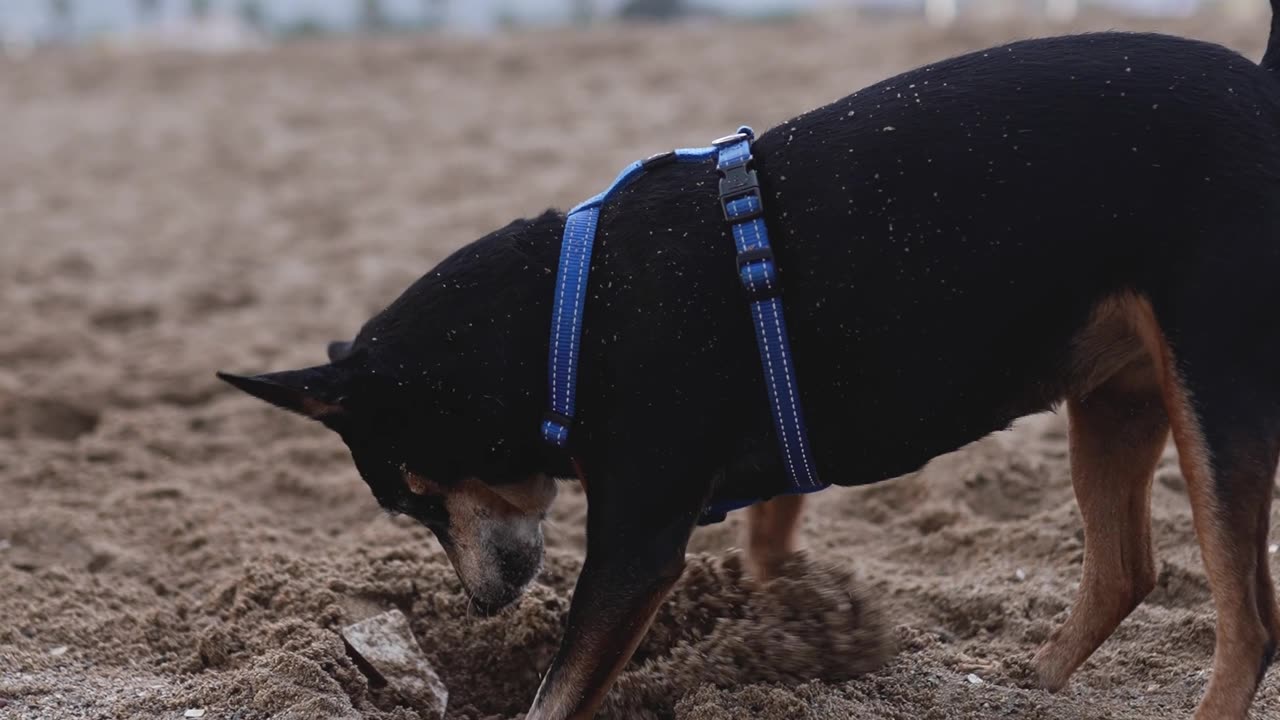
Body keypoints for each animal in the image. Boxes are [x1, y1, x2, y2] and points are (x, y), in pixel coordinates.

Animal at [217, 8, 1280, 712]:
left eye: (415, 494)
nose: (483, 601)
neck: (561, 319)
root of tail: (1262, 89)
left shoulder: (635, 549)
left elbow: (558, 690)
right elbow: (771, 549)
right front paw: (791, 632)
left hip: (1216, 390)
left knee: (1247, 626)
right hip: (1116, 394)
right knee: (1126, 571)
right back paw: (1032, 688)